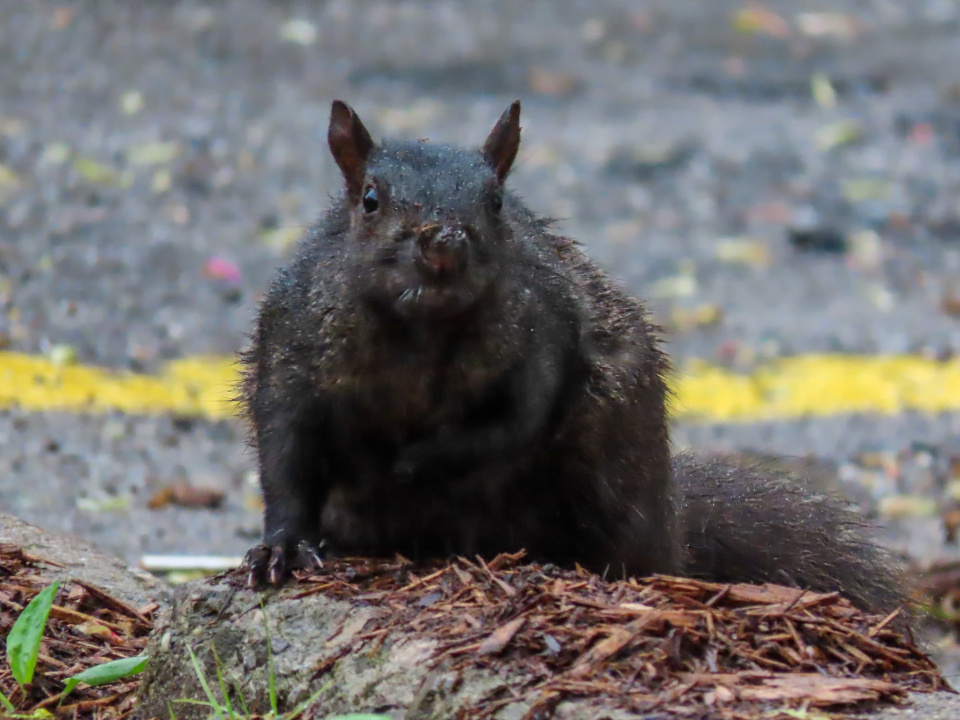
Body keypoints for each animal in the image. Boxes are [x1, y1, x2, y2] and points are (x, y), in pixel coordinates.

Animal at [240, 100, 905, 617]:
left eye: (497, 201)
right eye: (371, 199)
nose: (445, 242)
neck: (420, 334)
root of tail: (674, 526)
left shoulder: (545, 345)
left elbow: (510, 427)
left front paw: (409, 467)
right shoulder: (290, 350)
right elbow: (285, 454)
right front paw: (282, 549)